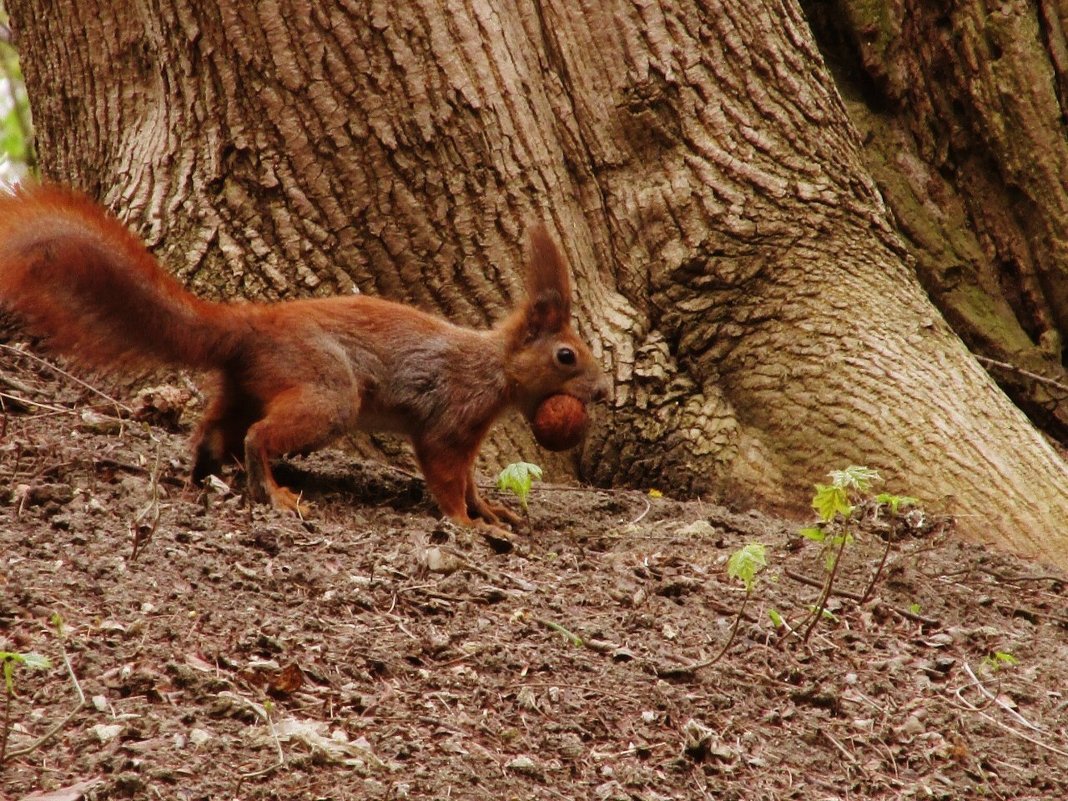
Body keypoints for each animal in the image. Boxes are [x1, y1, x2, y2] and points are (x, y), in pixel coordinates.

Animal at [0, 184, 610, 540]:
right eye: (567, 356)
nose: (604, 393)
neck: (496, 368)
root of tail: (250, 327)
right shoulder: (452, 417)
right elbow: (444, 475)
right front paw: (466, 524)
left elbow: (470, 480)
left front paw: (490, 512)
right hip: (325, 391)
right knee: (257, 437)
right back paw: (273, 492)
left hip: (248, 386)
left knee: (214, 429)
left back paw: (204, 474)